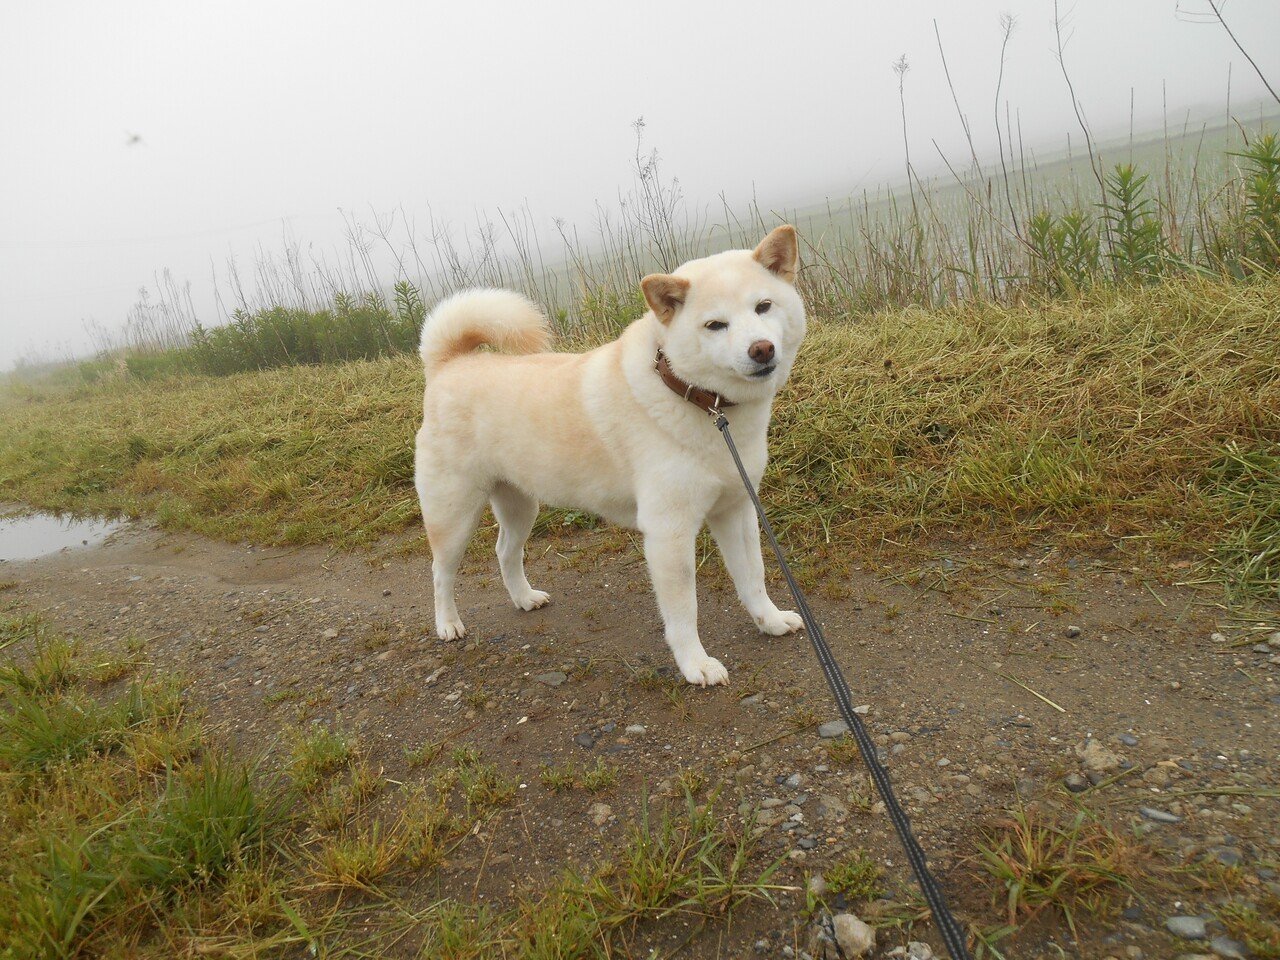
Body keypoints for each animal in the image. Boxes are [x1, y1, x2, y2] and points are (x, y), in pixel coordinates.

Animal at [414, 225, 803, 686]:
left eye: (763, 306)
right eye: (715, 325)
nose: (761, 349)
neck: (700, 402)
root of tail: (448, 365)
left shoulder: (736, 511)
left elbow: (754, 577)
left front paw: (770, 621)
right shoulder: (669, 534)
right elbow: (684, 611)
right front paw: (695, 664)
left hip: (520, 505)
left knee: (505, 551)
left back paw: (524, 598)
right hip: (453, 515)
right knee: (440, 572)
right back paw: (447, 624)